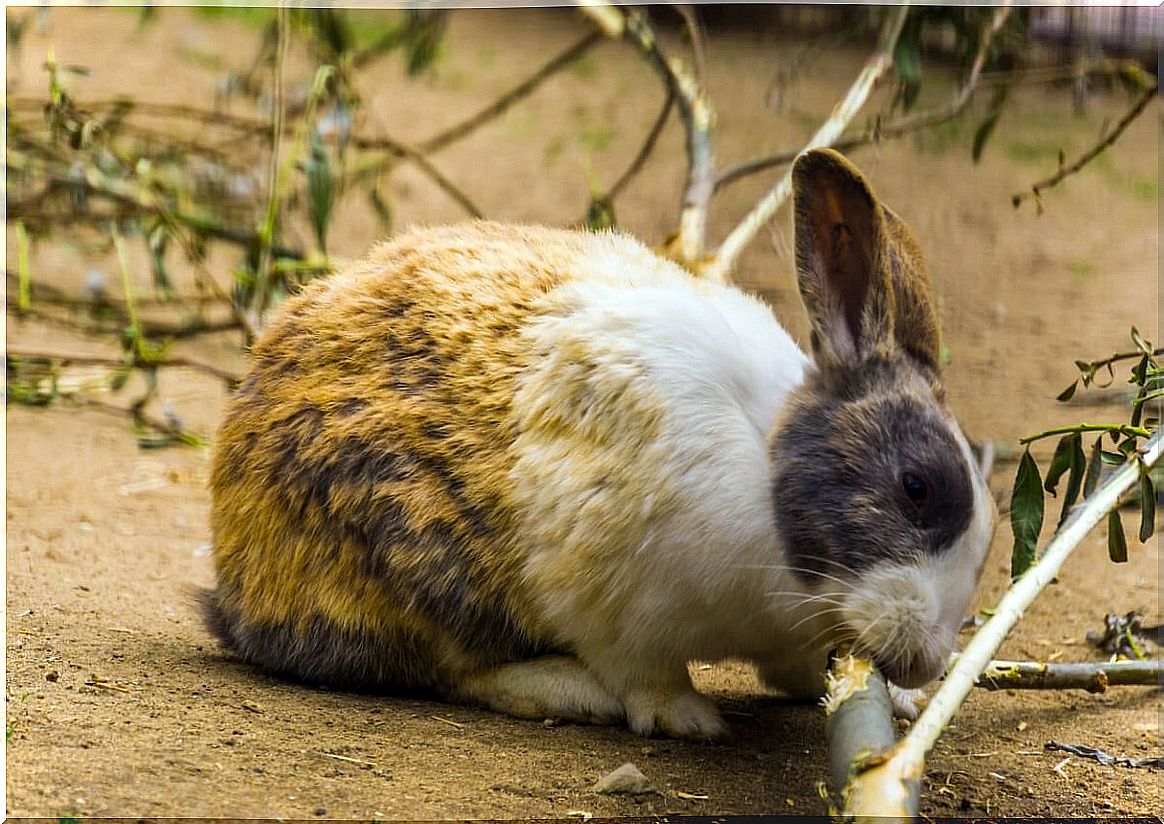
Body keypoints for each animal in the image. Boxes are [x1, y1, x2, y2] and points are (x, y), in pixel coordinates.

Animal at [204, 147, 996, 740]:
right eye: (917, 488)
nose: (927, 661)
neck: (765, 469)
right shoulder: (616, 605)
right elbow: (644, 675)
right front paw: (686, 718)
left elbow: (798, 671)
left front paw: (898, 704)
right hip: (415, 559)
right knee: (448, 667)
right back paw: (569, 690)